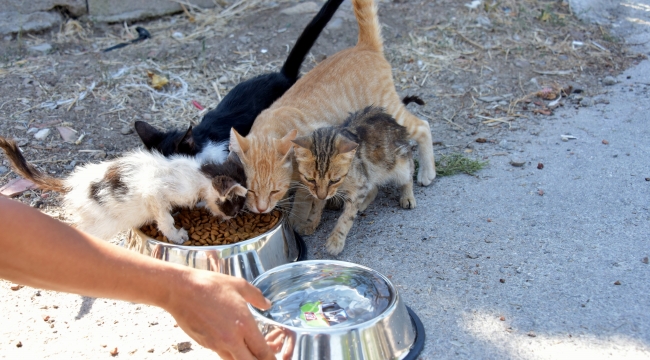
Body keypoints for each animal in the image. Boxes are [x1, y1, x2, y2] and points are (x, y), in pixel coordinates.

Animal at [0, 138, 246, 245]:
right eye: (234, 203)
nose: (234, 216)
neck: (199, 174)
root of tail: (73, 183)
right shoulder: (154, 193)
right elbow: (164, 219)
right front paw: (177, 235)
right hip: (103, 222)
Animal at [228, 0, 436, 214]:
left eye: (274, 191)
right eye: (249, 190)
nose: (260, 209)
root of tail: (363, 46)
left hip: (391, 107)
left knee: (423, 126)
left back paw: (427, 173)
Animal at [290, 105, 412, 255]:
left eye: (334, 180)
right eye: (310, 179)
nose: (323, 195)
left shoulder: (359, 185)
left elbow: (346, 217)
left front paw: (336, 240)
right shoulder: (319, 191)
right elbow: (316, 207)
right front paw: (311, 223)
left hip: (398, 163)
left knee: (409, 170)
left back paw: (408, 196)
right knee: (374, 187)